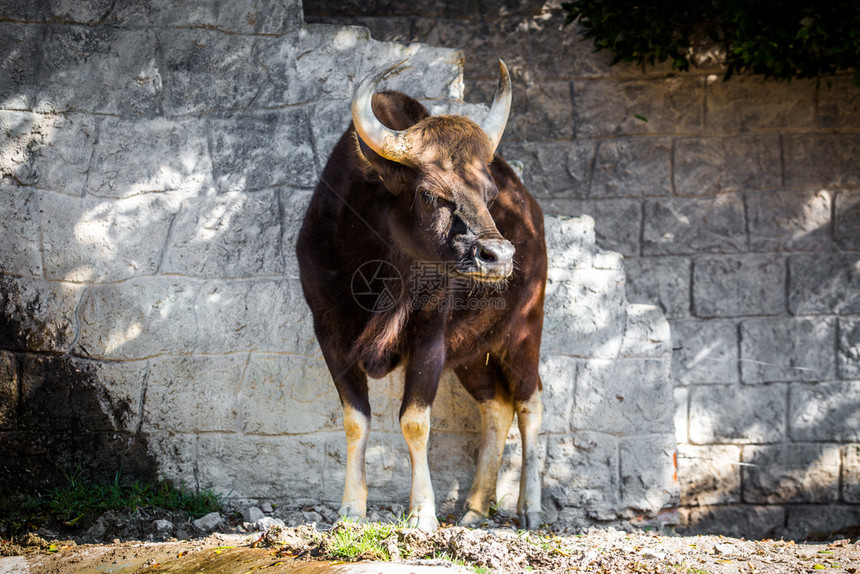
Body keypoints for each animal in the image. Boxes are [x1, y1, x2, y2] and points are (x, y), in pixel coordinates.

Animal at [298, 58, 548, 532]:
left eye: (489, 194)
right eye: (432, 193)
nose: (498, 256)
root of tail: (534, 214)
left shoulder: (429, 338)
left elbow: (415, 422)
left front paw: (422, 513)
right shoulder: (329, 334)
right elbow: (355, 420)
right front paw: (350, 509)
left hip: (525, 331)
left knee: (530, 404)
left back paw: (530, 506)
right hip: (472, 351)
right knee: (497, 407)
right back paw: (474, 508)